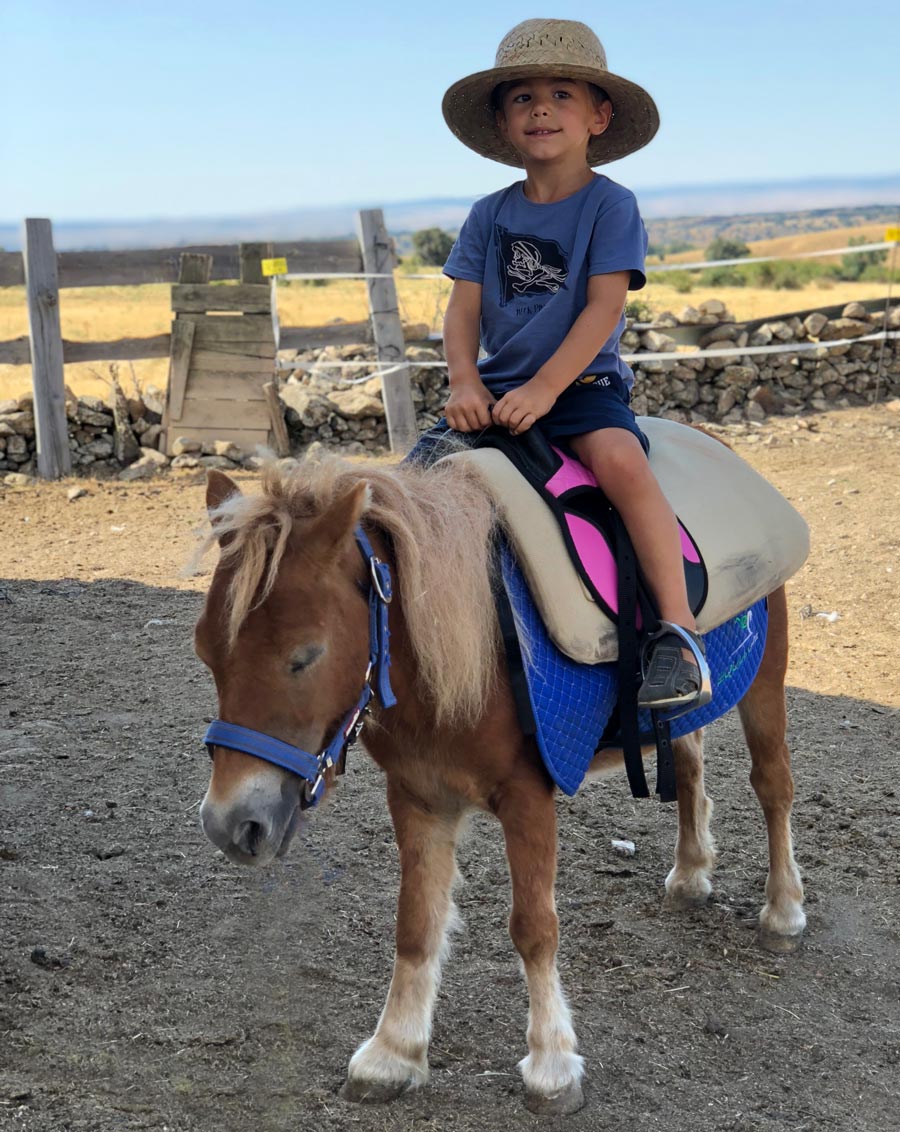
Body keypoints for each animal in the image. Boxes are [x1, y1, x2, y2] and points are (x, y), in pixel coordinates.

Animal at [193, 455, 806, 1118]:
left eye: (306, 655)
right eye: (206, 652)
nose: (229, 824)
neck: (462, 648)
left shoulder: (526, 799)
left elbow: (534, 929)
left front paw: (552, 1065)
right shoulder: (418, 797)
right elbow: (416, 923)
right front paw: (394, 1052)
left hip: (766, 678)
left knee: (773, 786)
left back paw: (783, 909)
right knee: (690, 766)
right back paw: (691, 873)